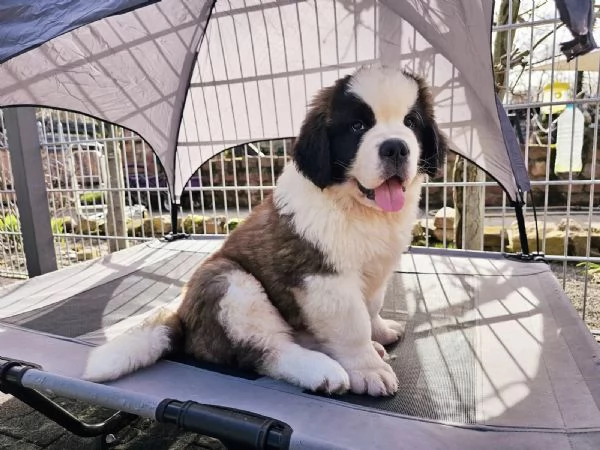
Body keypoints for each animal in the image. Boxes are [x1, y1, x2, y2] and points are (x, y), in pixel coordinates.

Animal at [86, 65, 448, 396]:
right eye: (358, 126)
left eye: (410, 123)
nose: (395, 147)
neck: (356, 206)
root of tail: (184, 324)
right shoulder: (324, 279)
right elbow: (353, 325)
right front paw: (368, 369)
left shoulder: (377, 269)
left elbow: (371, 307)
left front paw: (380, 332)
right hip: (229, 283)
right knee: (266, 351)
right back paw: (322, 371)